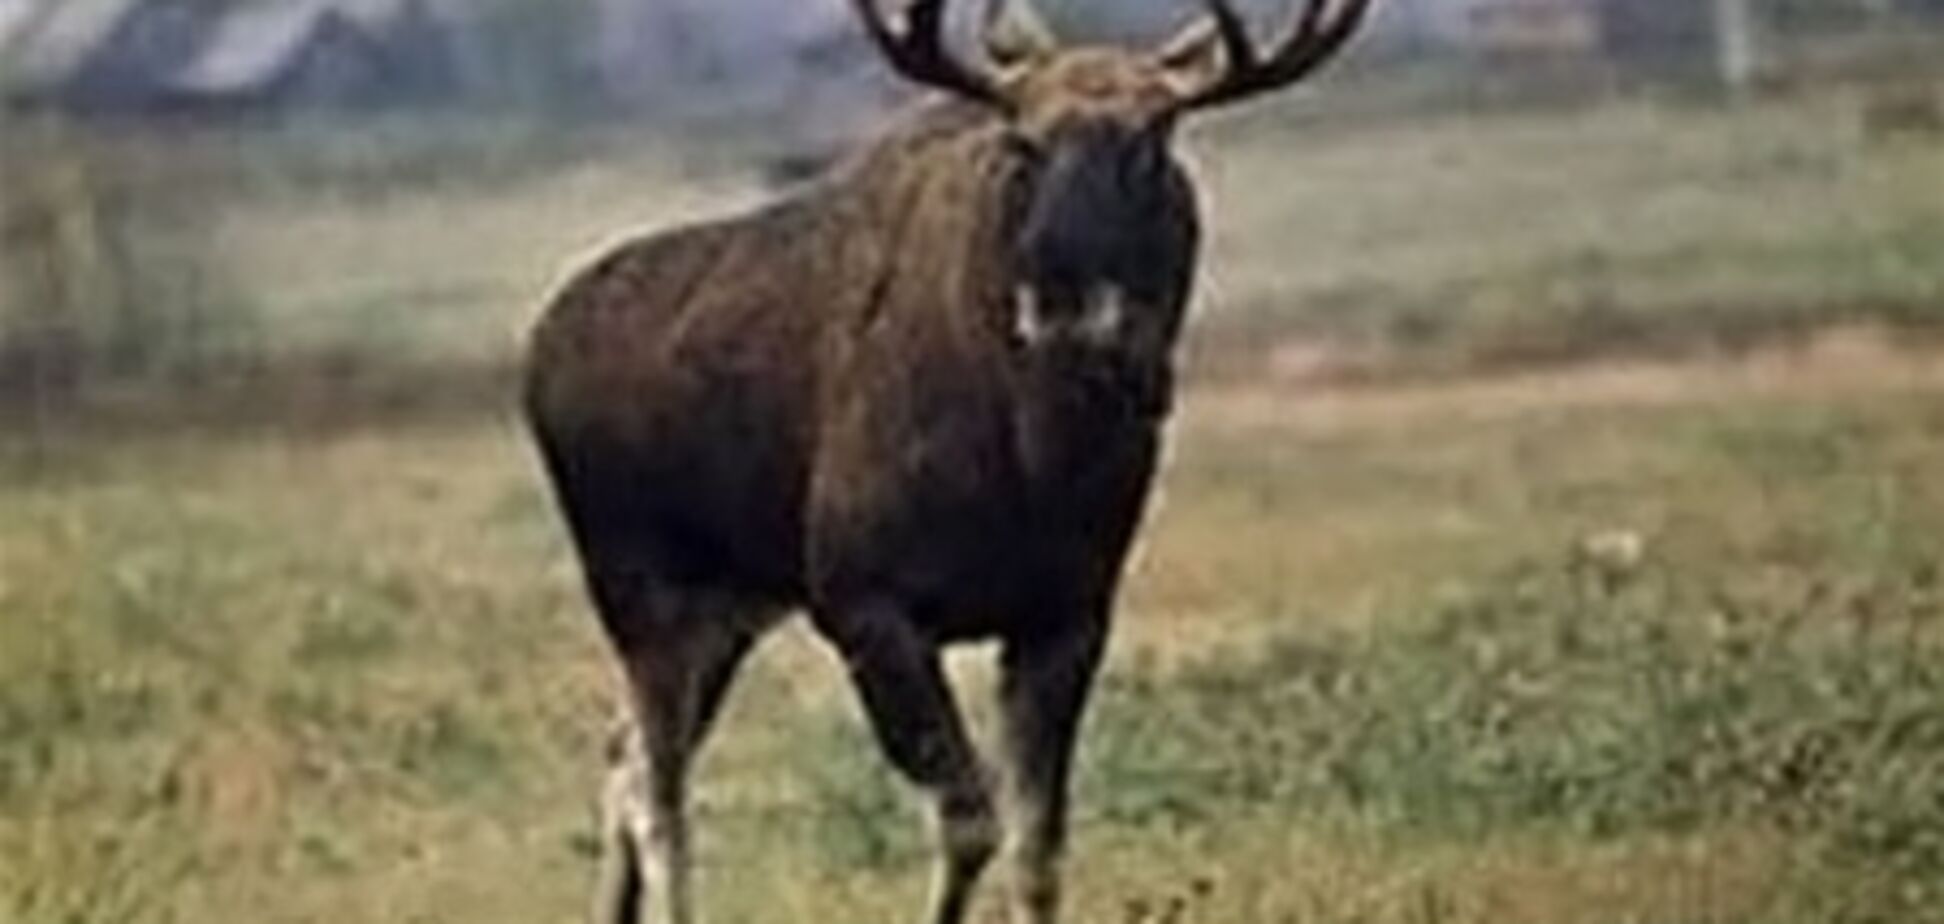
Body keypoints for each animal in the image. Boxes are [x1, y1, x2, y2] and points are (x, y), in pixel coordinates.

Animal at [521, 1, 1373, 922]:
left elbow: (1038, 847)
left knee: (623, 756)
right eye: (1021, 142)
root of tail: (538, 349)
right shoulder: (863, 602)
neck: (1038, 462)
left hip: (727, 609)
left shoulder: (1066, 614)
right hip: (637, 587)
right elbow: (971, 822)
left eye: (1152, 142)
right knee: (658, 790)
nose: (1062, 292)